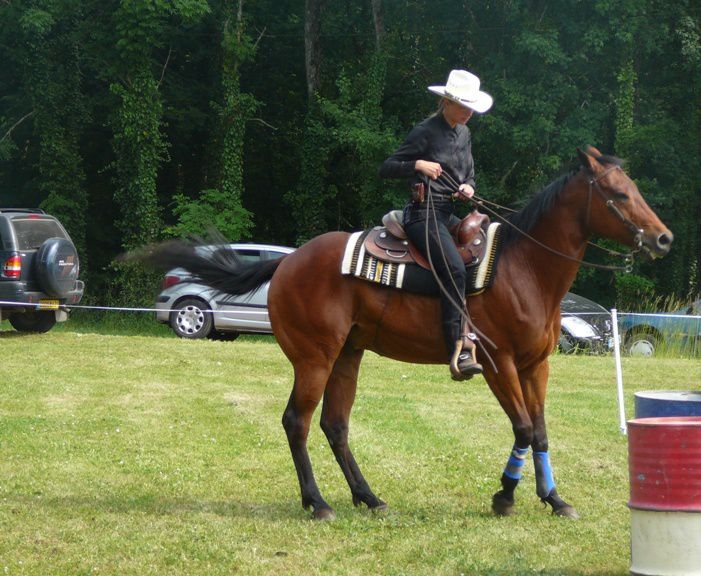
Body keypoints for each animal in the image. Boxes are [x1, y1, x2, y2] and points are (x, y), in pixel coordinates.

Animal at [144, 146, 672, 520]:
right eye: (619, 195)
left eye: (633, 187)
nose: (664, 238)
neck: (524, 269)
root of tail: (289, 261)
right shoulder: (496, 363)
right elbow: (522, 427)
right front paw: (504, 496)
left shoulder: (534, 366)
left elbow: (540, 431)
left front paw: (554, 499)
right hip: (314, 358)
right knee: (297, 421)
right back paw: (318, 503)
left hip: (348, 355)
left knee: (334, 424)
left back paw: (368, 497)